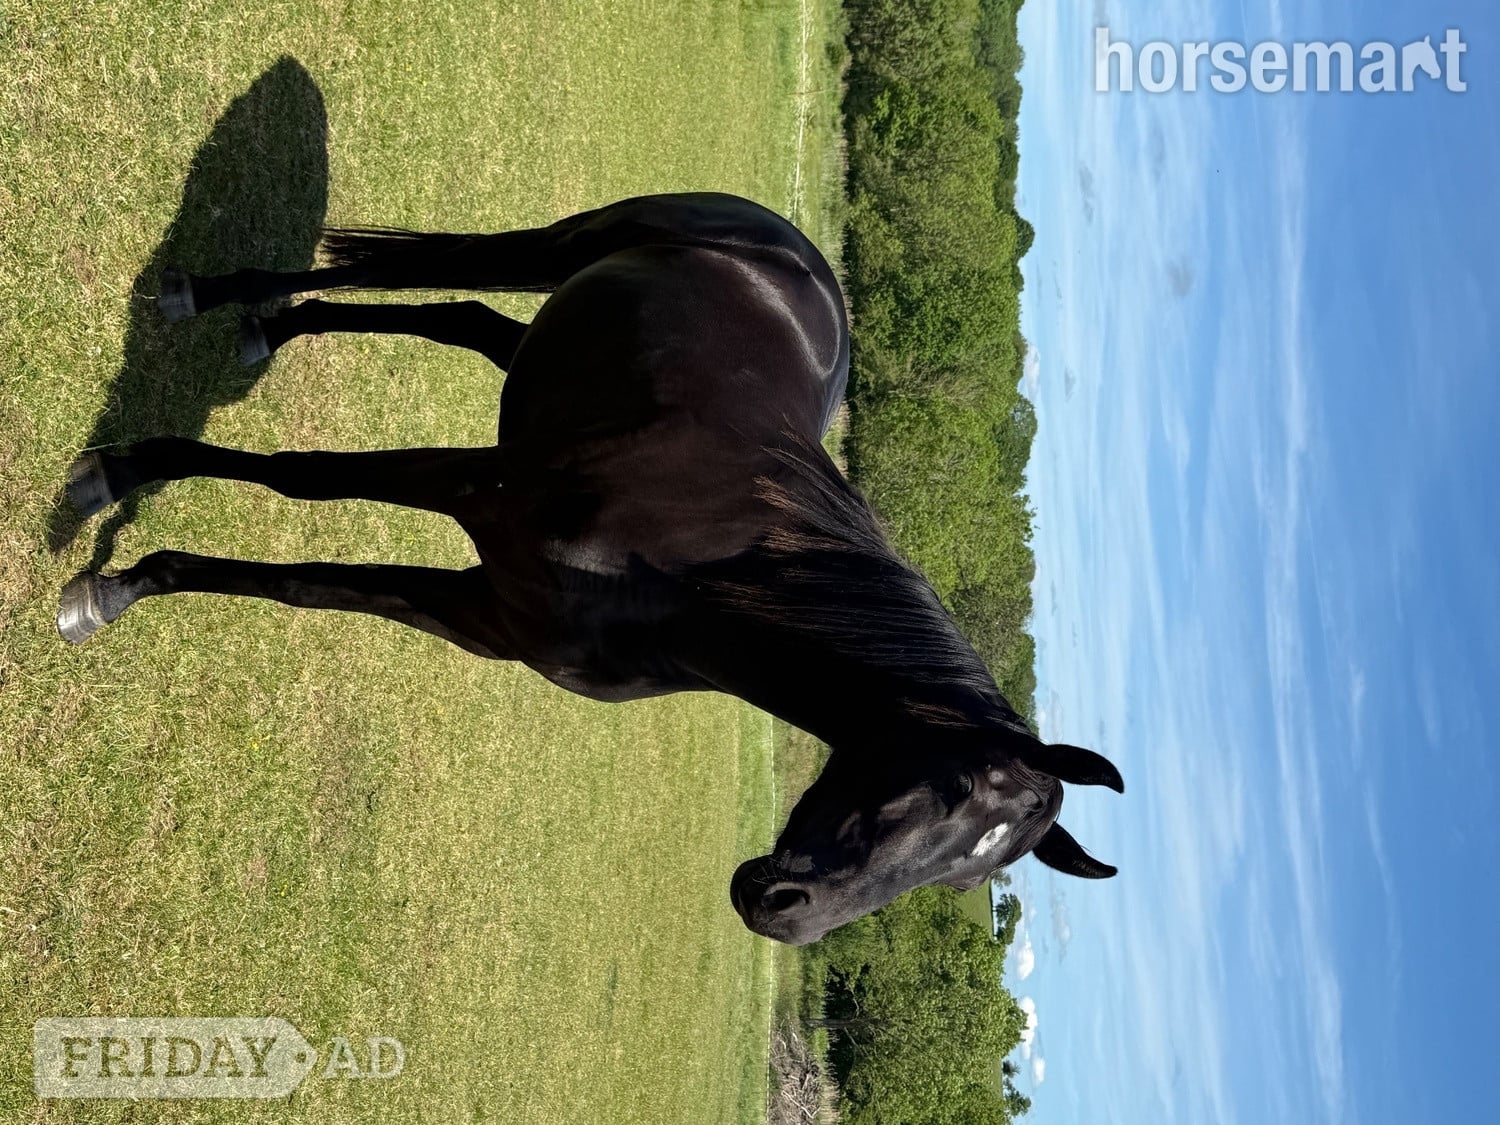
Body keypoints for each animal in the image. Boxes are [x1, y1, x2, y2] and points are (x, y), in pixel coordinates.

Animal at [57, 192, 1123, 945]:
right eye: (952, 793)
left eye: (969, 875)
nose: (785, 912)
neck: (680, 580)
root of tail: (800, 256)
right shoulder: (482, 489)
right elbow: (300, 478)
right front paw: (120, 479)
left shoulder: (484, 610)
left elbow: (301, 584)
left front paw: (121, 583)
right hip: (561, 246)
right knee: (448, 271)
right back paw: (216, 295)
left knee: (462, 314)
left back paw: (272, 325)